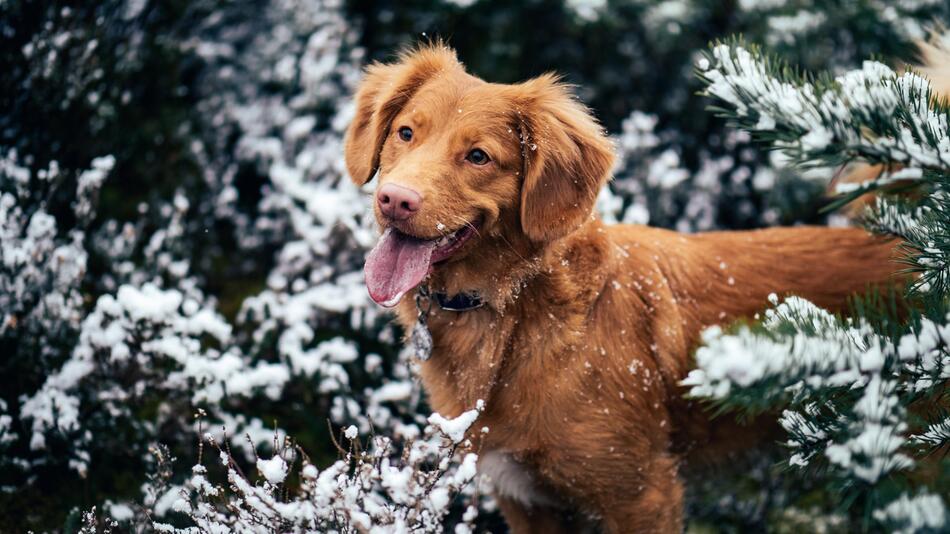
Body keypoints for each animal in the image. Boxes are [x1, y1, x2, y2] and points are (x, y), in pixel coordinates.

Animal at [346, 44, 904, 532]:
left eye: (478, 156)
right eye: (405, 133)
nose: (395, 200)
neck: (513, 312)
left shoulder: (642, 494)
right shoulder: (524, 499)